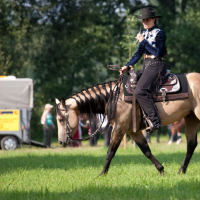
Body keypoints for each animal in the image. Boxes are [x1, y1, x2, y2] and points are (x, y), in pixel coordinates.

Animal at [54, 72, 200, 175]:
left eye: (61, 119)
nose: (61, 141)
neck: (114, 97)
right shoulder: (132, 131)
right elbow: (146, 150)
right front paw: (161, 169)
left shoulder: (119, 128)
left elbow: (110, 151)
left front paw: (102, 173)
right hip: (191, 118)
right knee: (191, 144)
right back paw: (181, 171)